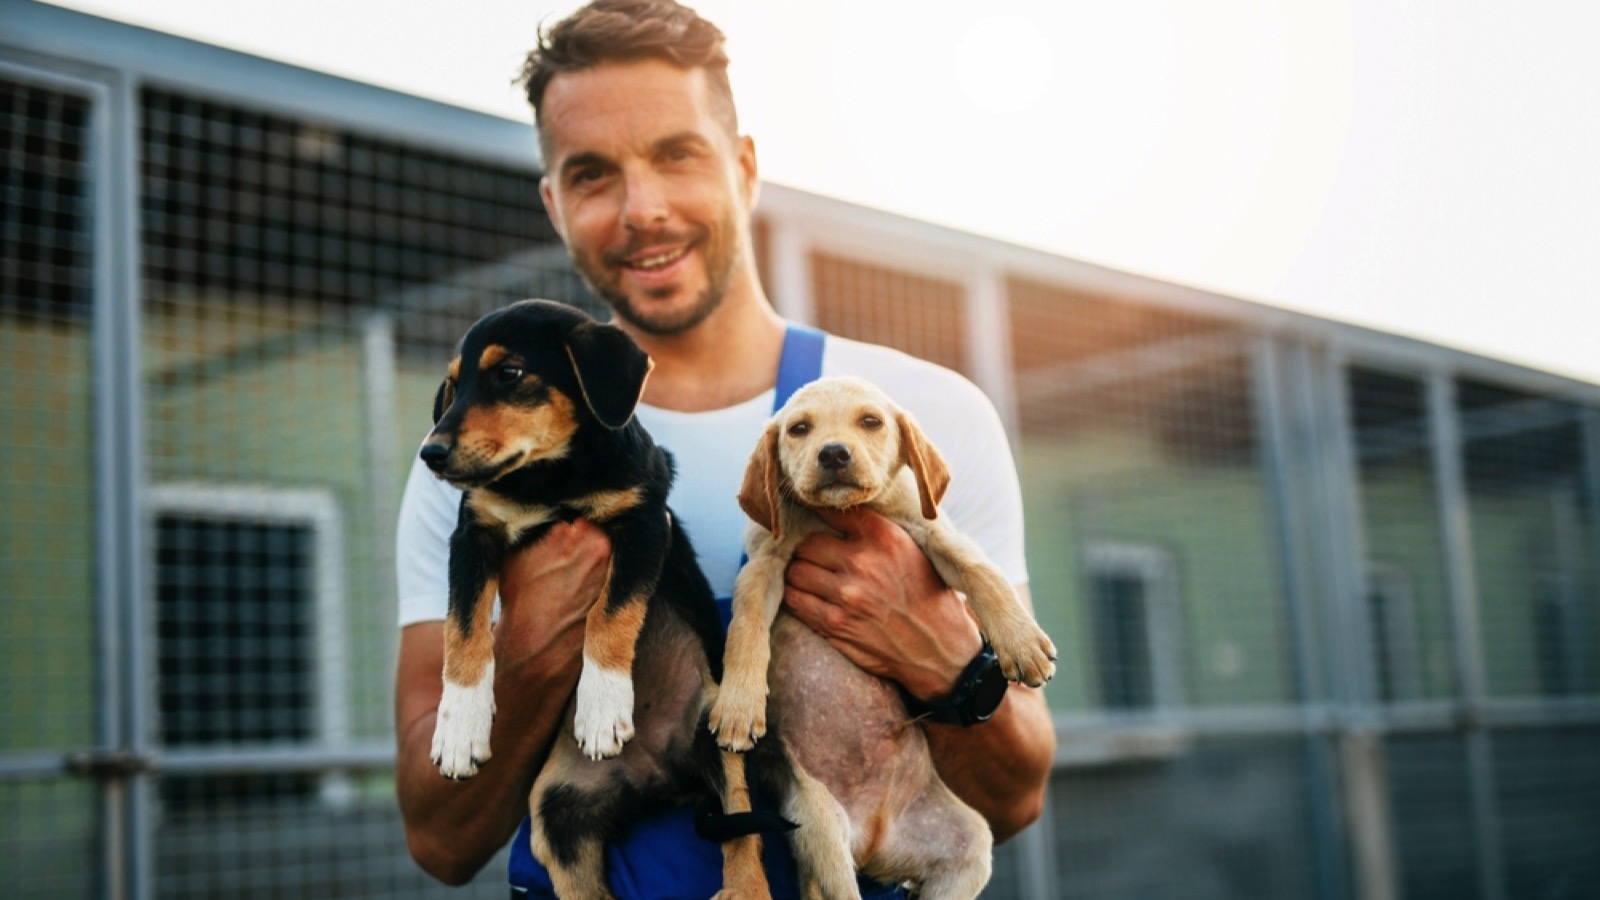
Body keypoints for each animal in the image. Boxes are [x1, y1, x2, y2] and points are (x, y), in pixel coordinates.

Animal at [419, 299, 768, 890]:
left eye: (509, 373)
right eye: (452, 385)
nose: (430, 453)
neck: (549, 481)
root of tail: (662, 779)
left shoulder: (643, 522)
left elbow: (611, 615)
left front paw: (603, 707)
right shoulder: (472, 537)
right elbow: (462, 631)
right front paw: (460, 729)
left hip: (719, 737)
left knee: (744, 836)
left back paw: (743, 890)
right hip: (556, 815)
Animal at [713, 374, 1049, 896]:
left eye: (870, 421)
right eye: (799, 429)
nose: (833, 453)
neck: (846, 512)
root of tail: (873, 838)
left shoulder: (932, 531)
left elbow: (981, 571)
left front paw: (1021, 639)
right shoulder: (764, 565)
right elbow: (746, 628)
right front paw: (738, 703)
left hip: (968, 844)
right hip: (819, 824)